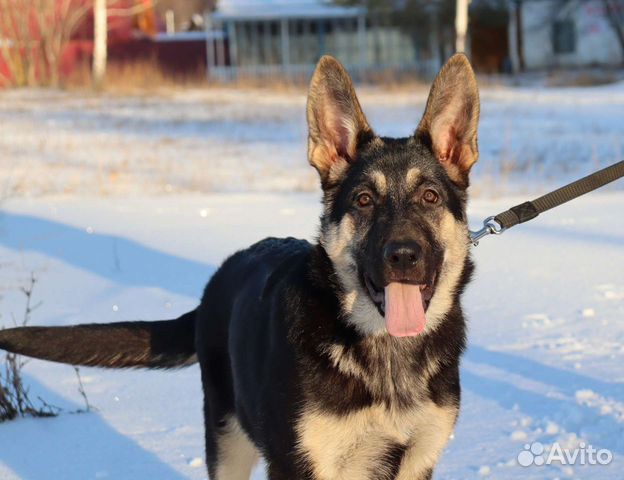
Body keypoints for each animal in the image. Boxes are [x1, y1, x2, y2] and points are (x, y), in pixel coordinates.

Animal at [0, 53, 480, 480]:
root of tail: (215, 282)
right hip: (228, 440)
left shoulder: (417, 461)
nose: (403, 256)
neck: (386, 354)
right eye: (364, 200)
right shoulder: (298, 465)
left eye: (430, 197)